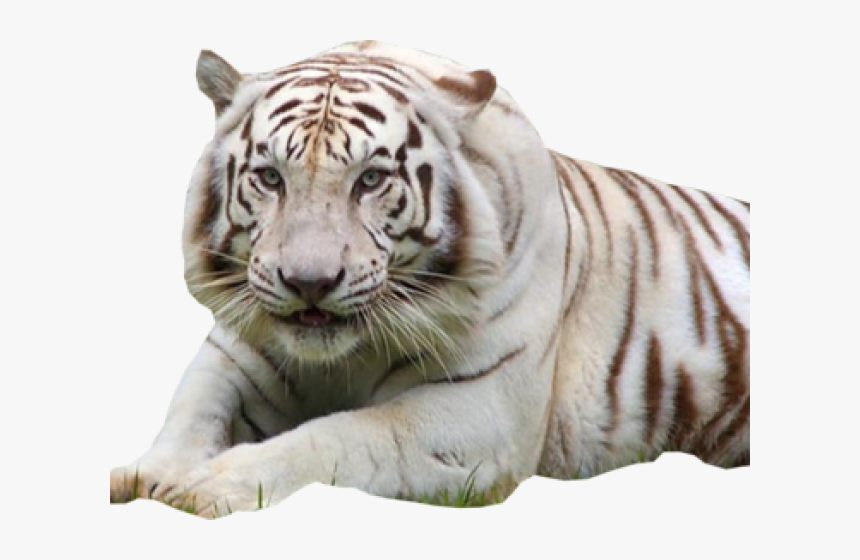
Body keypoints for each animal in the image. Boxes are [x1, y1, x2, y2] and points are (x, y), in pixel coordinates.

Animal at [109, 40, 750, 517]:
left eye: (370, 180)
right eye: (270, 178)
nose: (309, 282)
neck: (342, 359)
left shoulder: (478, 413)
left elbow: (341, 437)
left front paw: (212, 487)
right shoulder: (236, 352)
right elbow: (192, 412)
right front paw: (146, 477)